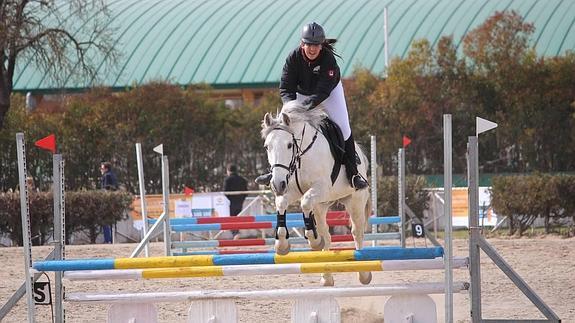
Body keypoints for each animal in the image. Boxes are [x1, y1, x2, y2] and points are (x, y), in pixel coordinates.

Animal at [262, 100, 374, 286]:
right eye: (267, 147)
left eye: (289, 145)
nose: (277, 184)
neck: (301, 156)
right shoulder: (291, 189)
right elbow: (281, 203)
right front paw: (282, 245)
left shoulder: (320, 188)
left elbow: (305, 202)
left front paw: (313, 241)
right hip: (322, 205)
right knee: (326, 233)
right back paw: (326, 276)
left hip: (355, 201)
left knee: (357, 232)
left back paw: (364, 274)